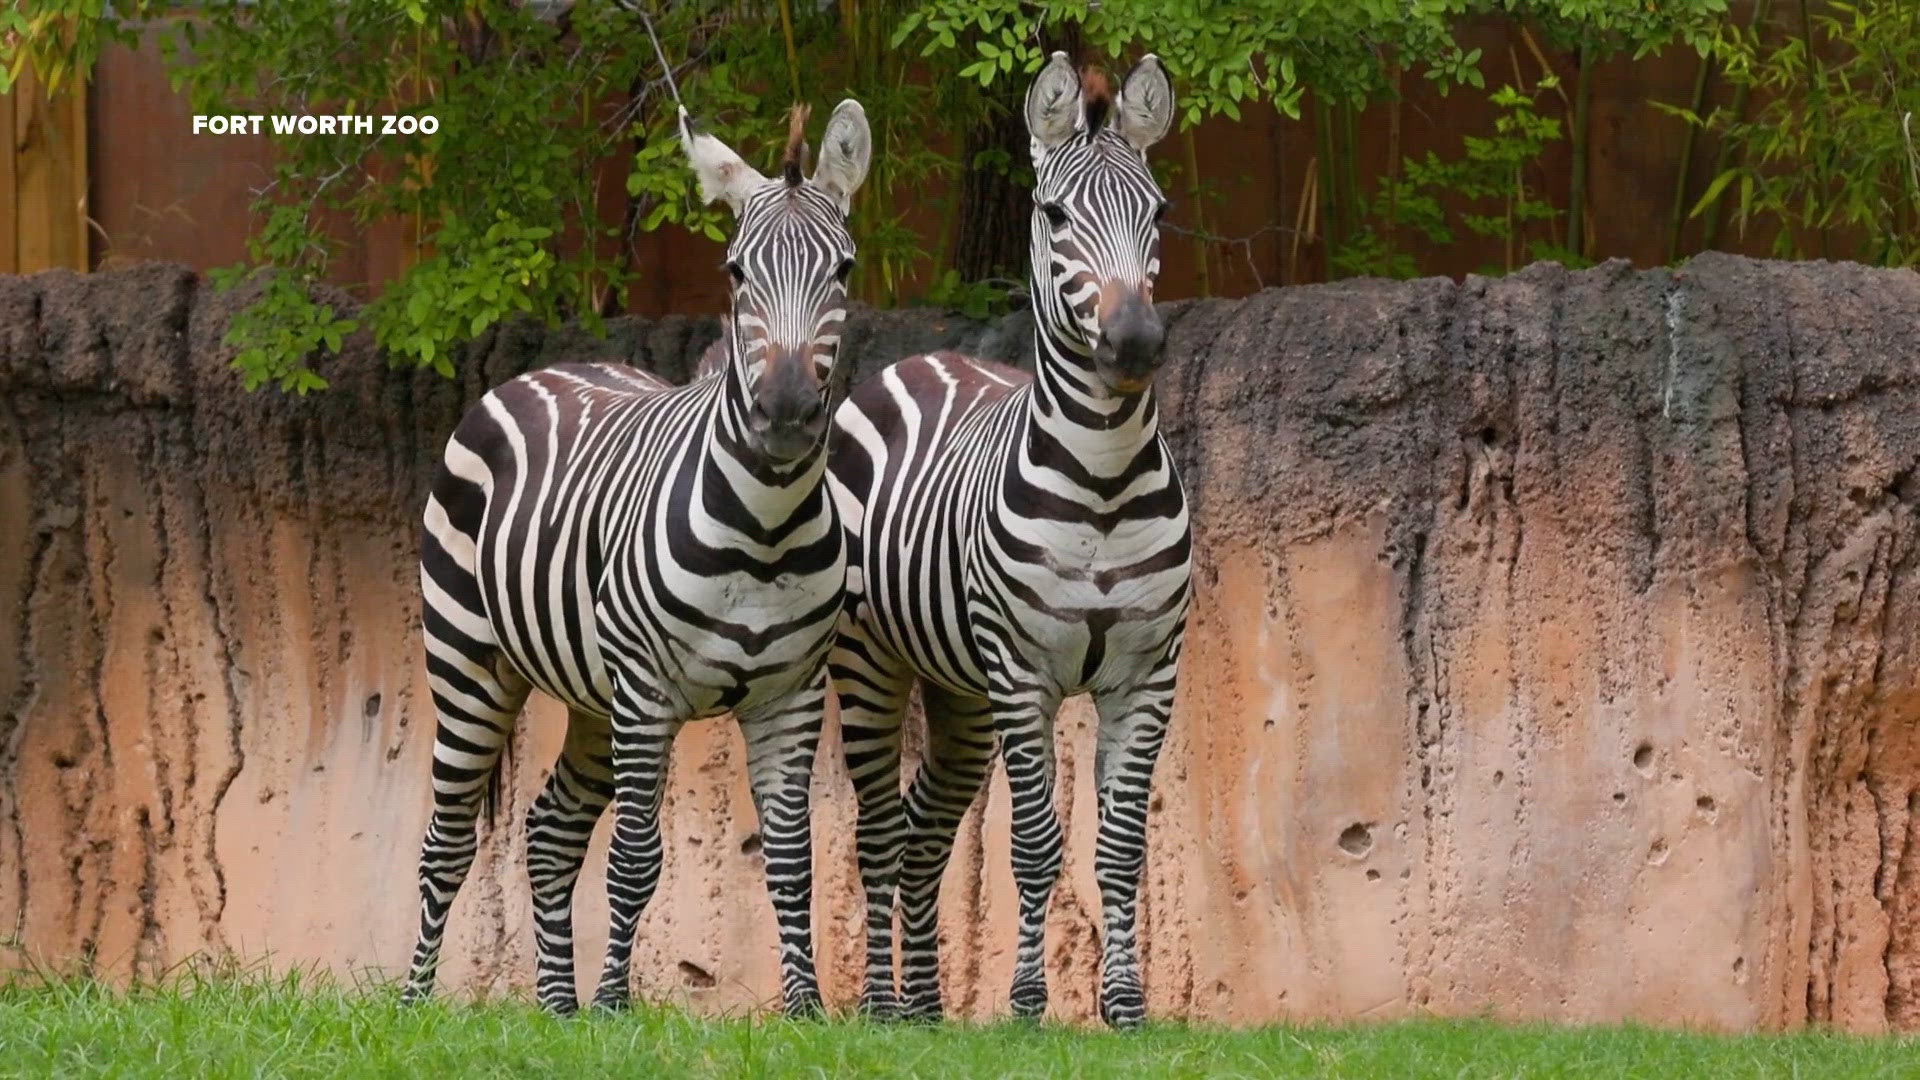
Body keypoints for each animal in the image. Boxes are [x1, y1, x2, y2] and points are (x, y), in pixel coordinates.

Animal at [399, 99, 871, 1018]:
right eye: (735, 273)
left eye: (843, 270)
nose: (786, 409)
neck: (764, 530)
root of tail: (541, 371)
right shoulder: (649, 692)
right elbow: (636, 862)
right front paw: (616, 1006)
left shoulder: (792, 694)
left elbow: (792, 863)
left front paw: (806, 1009)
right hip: (470, 662)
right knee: (445, 842)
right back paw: (412, 1002)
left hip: (591, 696)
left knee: (549, 831)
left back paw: (556, 1008)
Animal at [829, 53, 1188, 1029]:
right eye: (1058, 216)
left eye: (1158, 213)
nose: (1134, 342)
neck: (1102, 482)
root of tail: (920, 359)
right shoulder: (1024, 672)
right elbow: (1033, 844)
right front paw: (1028, 1003)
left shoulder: (1149, 675)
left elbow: (1120, 848)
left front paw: (1124, 1008)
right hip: (871, 665)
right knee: (879, 832)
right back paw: (882, 1006)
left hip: (960, 694)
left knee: (923, 830)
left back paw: (924, 1008)